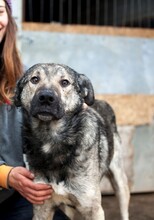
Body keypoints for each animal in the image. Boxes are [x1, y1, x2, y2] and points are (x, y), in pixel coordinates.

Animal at [13, 62, 129, 219]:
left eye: (65, 82)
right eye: (34, 79)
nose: (46, 97)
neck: (51, 139)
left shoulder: (94, 209)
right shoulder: (42, 208)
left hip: (119, 180)